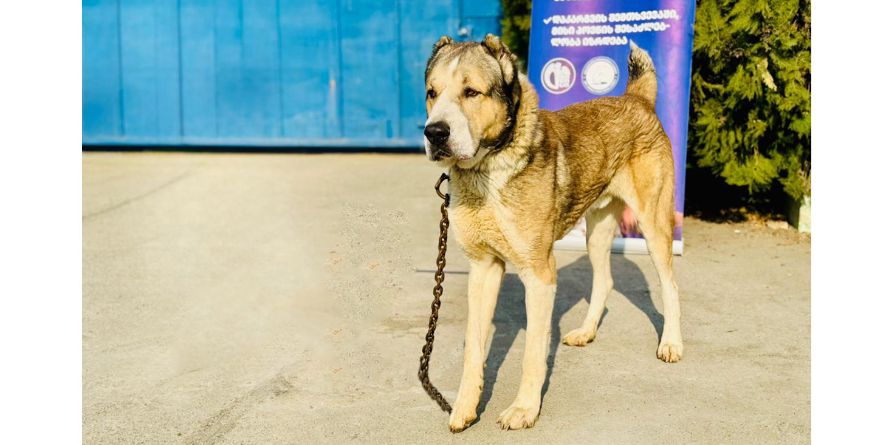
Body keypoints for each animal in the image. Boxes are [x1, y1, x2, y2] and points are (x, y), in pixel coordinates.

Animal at [423, 34, 684, 432]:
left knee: (670, 285)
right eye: (432, 93)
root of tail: (636, 98)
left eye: (471, 92)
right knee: (605, 280)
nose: (434, 132)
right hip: (597, 230)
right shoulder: (483, 268)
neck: (487, 173)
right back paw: (587, 332)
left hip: (654, 225)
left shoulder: (539, 275)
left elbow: (532, 352)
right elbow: (473, 348)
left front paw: (524, 410)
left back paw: (671, 344)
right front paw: (465, 408)